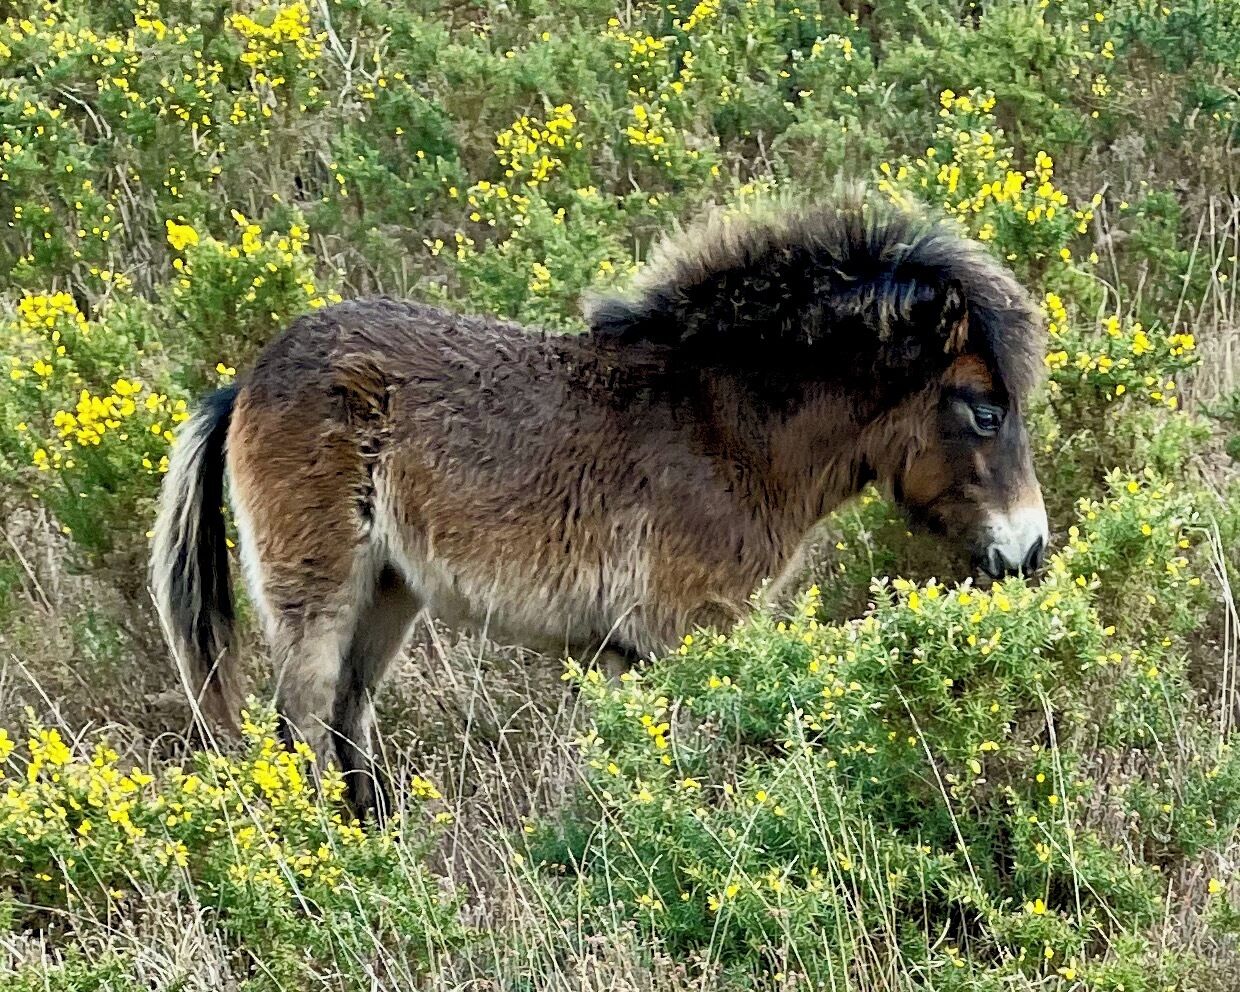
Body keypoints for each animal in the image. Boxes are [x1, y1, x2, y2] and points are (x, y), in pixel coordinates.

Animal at [151, 194, 1048, 819]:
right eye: (985, 410)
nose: (1030, 550)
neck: (726, 426)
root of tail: (246, 380)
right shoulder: (685, 635)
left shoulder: (624, 651)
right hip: (319, 590)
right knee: (302, 721)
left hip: (388, 592)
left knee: (347, 715)